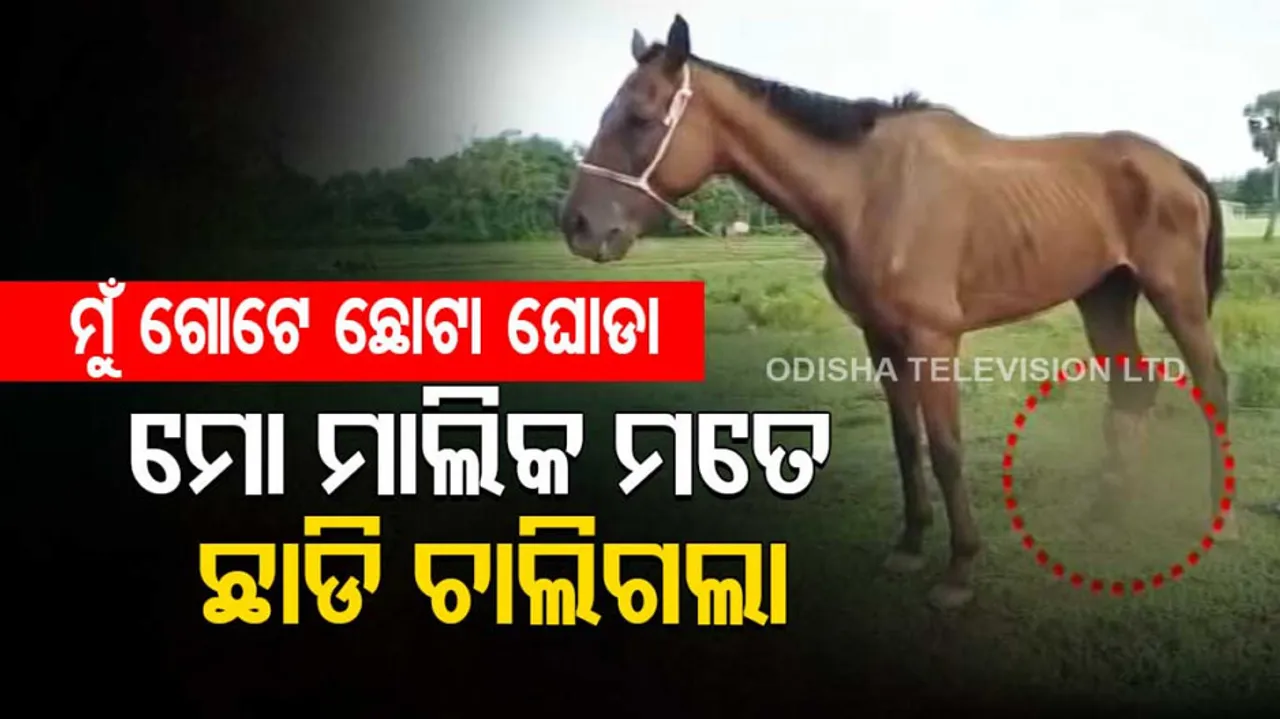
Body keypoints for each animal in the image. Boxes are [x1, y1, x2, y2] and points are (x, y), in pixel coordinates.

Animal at [559, 14, 1233, 609]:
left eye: (640, 117)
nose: (579, 225)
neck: (868, 191)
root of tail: (1176, 165)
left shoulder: (933, 341)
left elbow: (946, 448)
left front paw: (959, 570)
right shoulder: (880, 339)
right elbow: (907, 441)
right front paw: (910, 544)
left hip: (1175, 295)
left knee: (1211, 383)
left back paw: (1210, 510)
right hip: (1105, 296)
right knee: (1132, 389)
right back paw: (1111, 507)